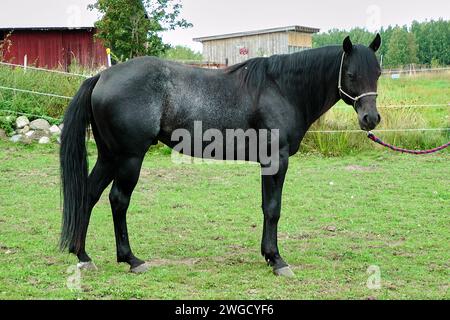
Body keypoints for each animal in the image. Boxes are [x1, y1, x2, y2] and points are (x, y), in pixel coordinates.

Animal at [59, 34, 382, 276]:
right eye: (351, 74)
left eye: (378, 74)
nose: (371, 119)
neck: (282, 88)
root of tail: (102, 76)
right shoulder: (276, 160)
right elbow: (273, 209)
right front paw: (277, 260)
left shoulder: (267, 163)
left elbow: (266, 207)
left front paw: (268, 256)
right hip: (129, 158)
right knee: (118, 200)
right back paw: (131, 259)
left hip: (109, 156)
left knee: (89, 194)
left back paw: (83, 256)